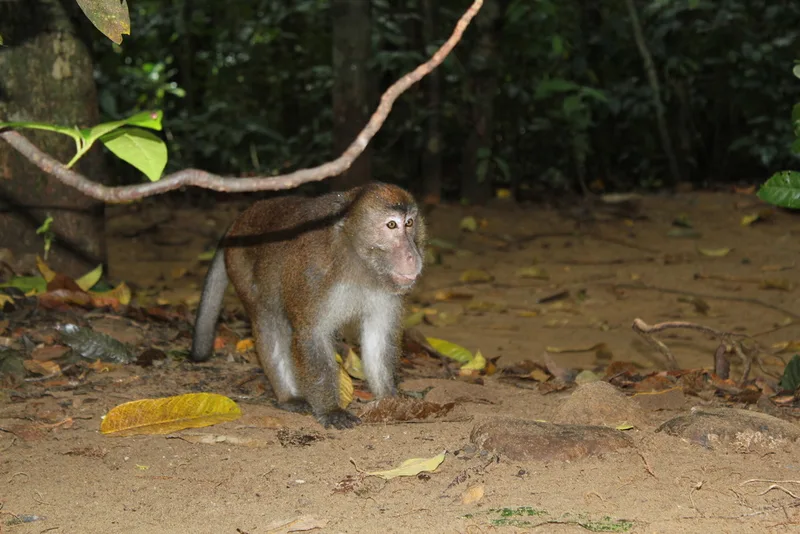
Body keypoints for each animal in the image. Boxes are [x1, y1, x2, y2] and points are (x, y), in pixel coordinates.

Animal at [190, 182, 426, 429]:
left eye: (409, 223)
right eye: (391, 225)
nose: (412, 255)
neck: (356, 259)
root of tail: (239, 220)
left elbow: (378, 336)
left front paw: (390, 399)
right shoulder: (313, 273)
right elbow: (311, 335)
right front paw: (331, 410)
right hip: (240, 266)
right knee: (269, 320)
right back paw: (289, 396)